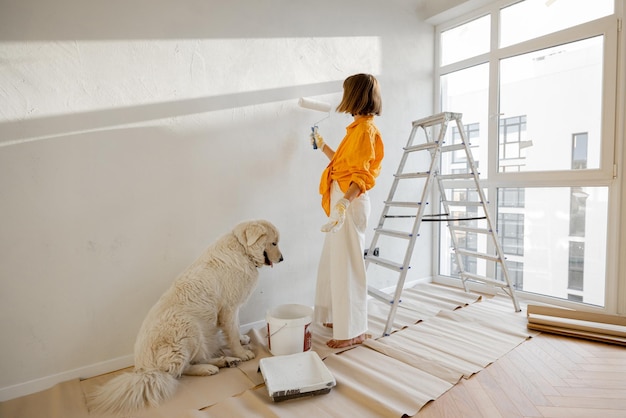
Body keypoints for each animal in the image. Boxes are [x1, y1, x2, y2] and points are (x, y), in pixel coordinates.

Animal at [88, 219, 282, 414]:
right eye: (274, 243)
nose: (282, 259)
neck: (242, 249)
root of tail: (144, 370)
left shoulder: (232, 310)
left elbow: (237, 327)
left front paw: (242, 340)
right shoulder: (229, 309)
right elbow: (232, 333)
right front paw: (242, 353)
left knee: (193, 361)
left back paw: (225, 361)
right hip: (189, 327)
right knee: (181, 370)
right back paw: (210, 367)